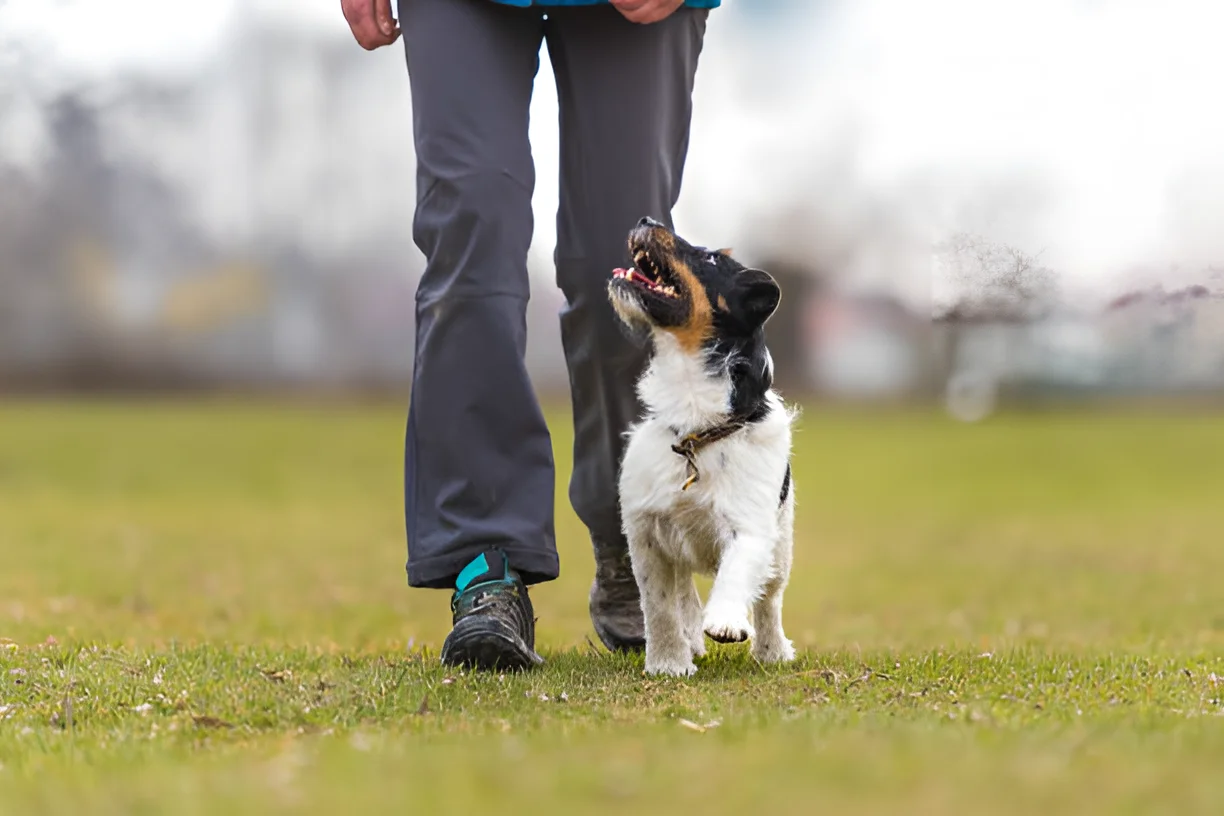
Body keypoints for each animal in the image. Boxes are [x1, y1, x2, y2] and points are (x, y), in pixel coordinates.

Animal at [609, 215, 798, 675]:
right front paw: (668, 663)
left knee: (770, 600)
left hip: (781, 544)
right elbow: (659, 606)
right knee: (684, 595)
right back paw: (691, 641)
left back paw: (772, 651)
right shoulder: (646, 534)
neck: (696, 430)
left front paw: (726, 621)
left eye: (711, 258)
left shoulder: (751, 525)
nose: (646, 219)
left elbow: (738, 572)